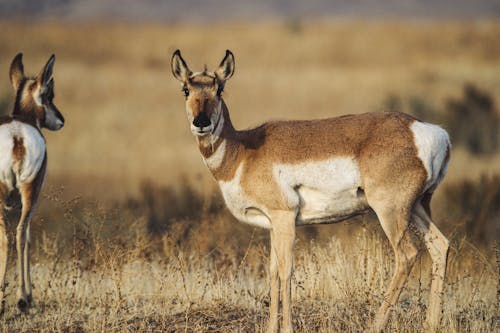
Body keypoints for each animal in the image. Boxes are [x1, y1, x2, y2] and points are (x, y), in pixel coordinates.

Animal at [170, 49, 452, 332]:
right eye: (185, 89)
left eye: (219, 89)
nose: (201, 122)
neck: (242, 151)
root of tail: (428, 131)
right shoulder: (273, 224)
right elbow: (272, 272)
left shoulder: (284, 217)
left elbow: (286, 271)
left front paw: (287, 328)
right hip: (417, 208)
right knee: (440, 246)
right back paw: (432, 324)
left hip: (391, 211)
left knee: (407, 255)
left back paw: (376, 325)